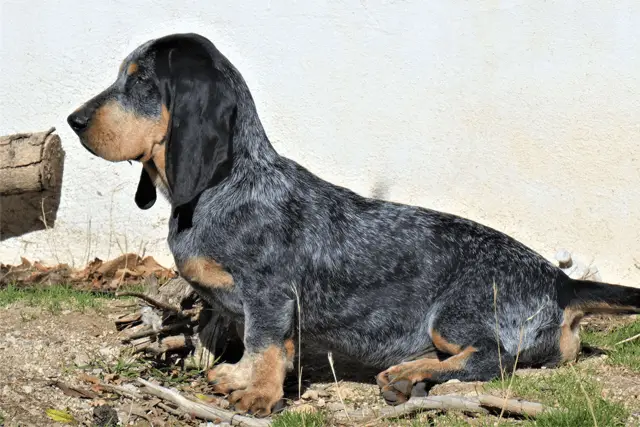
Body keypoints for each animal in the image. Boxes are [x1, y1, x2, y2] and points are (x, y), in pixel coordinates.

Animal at [67, 33, 640, 418]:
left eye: (141, 79)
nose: (74, 122)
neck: (227, 185)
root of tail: (562, 282)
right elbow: (255, 344)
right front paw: (235, 377)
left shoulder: (270, 295)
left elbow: (264, 343)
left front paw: (258, 394)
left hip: (453, 317)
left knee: (492, 359)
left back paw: (407, 377)